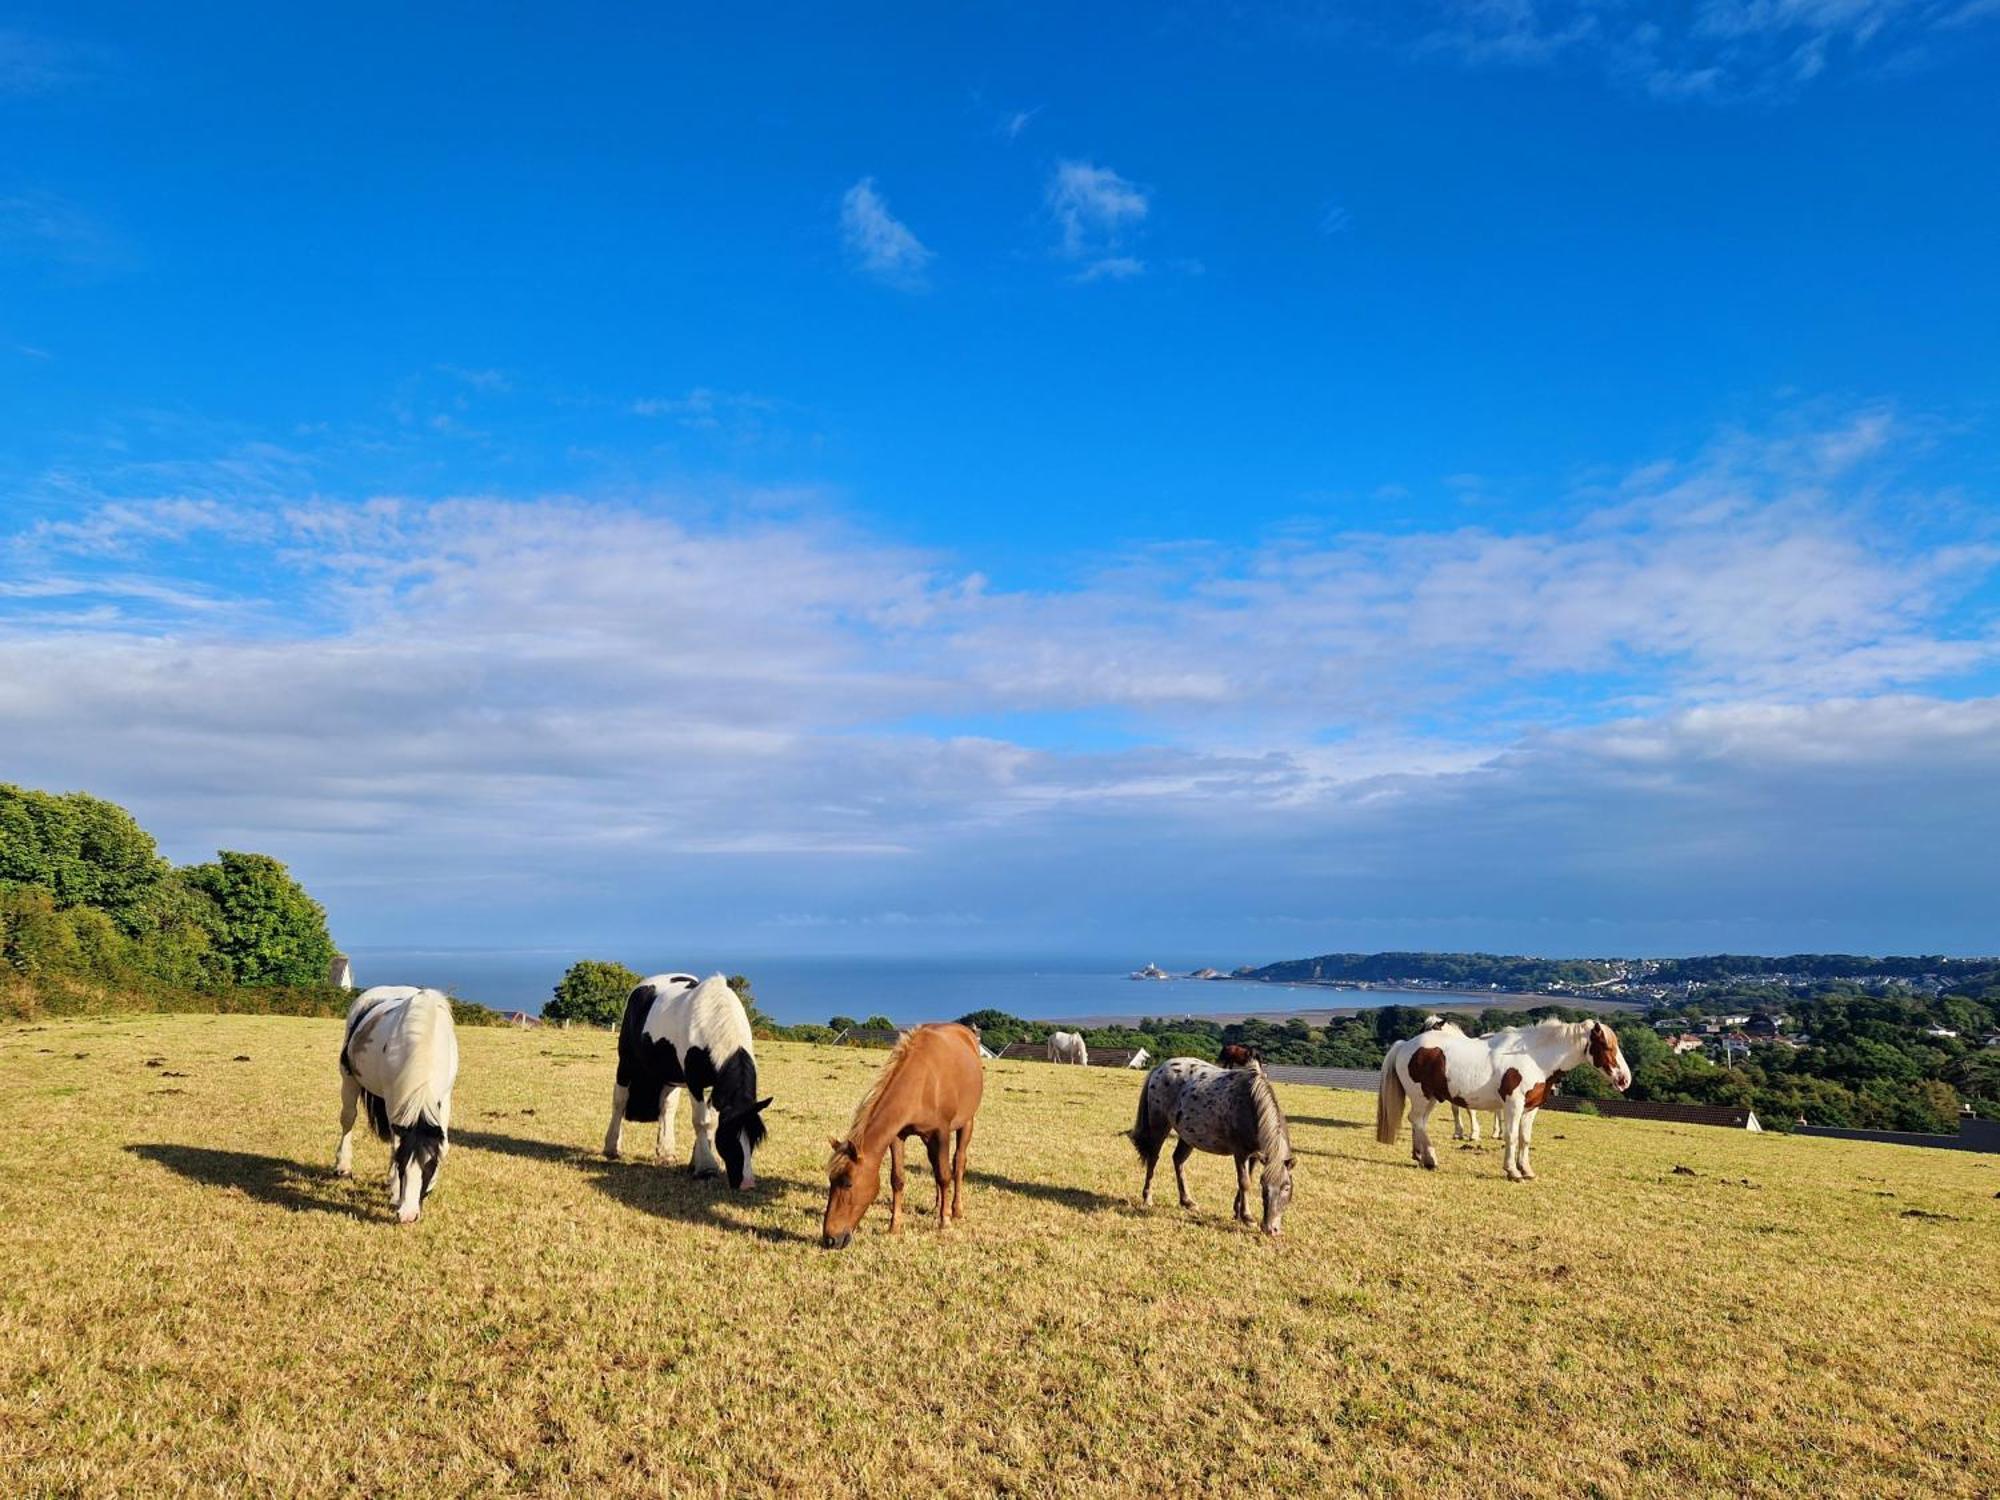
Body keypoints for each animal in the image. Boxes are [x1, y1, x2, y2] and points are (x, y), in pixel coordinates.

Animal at [336, 988, 460, 1224]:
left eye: (430, 1167)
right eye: (402, 1165)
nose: (408, 1216)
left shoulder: (445, 1097)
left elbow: (444, 1145)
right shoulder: (394, 1098)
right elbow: (395, 1144)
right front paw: (395, 1191)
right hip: (349, 1078)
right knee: (348, 1118)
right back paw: (342, 1165)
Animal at [596, 976, 768, 1200]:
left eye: (755, 1138)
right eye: (729, 1137)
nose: (747, 1183)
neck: (714, 1017)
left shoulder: (716, 1087)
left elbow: (709, 1121)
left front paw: (696, 1162)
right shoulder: (695, 1082)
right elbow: (702, 1121)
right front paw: (706, 1168)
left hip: (669, 1077)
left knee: (667, 1108)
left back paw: (666, 1153)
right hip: (626, 1063)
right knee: (620, 1101)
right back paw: (612, 1147)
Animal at [820, 1024, 984, 1256]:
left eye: (848, 1183)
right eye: (831, 1181)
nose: (830, 1239)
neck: (923, 1080)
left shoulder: (941, 1132)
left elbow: (945, 1175)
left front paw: (945, 1222)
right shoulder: (898, 1136)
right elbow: (898, 1179)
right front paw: (894, 1225)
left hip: (967, 1122)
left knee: (958, 1163)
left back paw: (955, 1209)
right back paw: (937, 1205)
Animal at [1136, 1056, 1288, 1232]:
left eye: (1287, 1187)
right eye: (1264, 1187)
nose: (1271, 1229)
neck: (1251, 1104)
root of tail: (1160, 1067)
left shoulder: (1255, 1155)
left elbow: (1247, 1180)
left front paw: (1237, 1212)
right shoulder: (1240, 1153)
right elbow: (1244, 1183)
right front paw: (1247, 1217)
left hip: (1188, 1136)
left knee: (1178, 1160)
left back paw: (1187, 1202)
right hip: (1159, 1125)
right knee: (1153, 1159)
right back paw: (1148, 1198)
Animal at [1384, 1024, 1632, 1184]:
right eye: (1607, 1046)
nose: (1625, 1080)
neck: (1534, 1058)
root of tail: (1406, 1045)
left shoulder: (1531, 1108)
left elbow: (1525, 1138)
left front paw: (1527, 1170)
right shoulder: (1514, 1104)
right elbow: (1511, 1136)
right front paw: (1512, 1171)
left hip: (1431, 1098)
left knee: (1419, 1122)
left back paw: (1420, 1157)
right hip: (1422, 1096)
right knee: (1417, 1121)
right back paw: (1431, 1160)